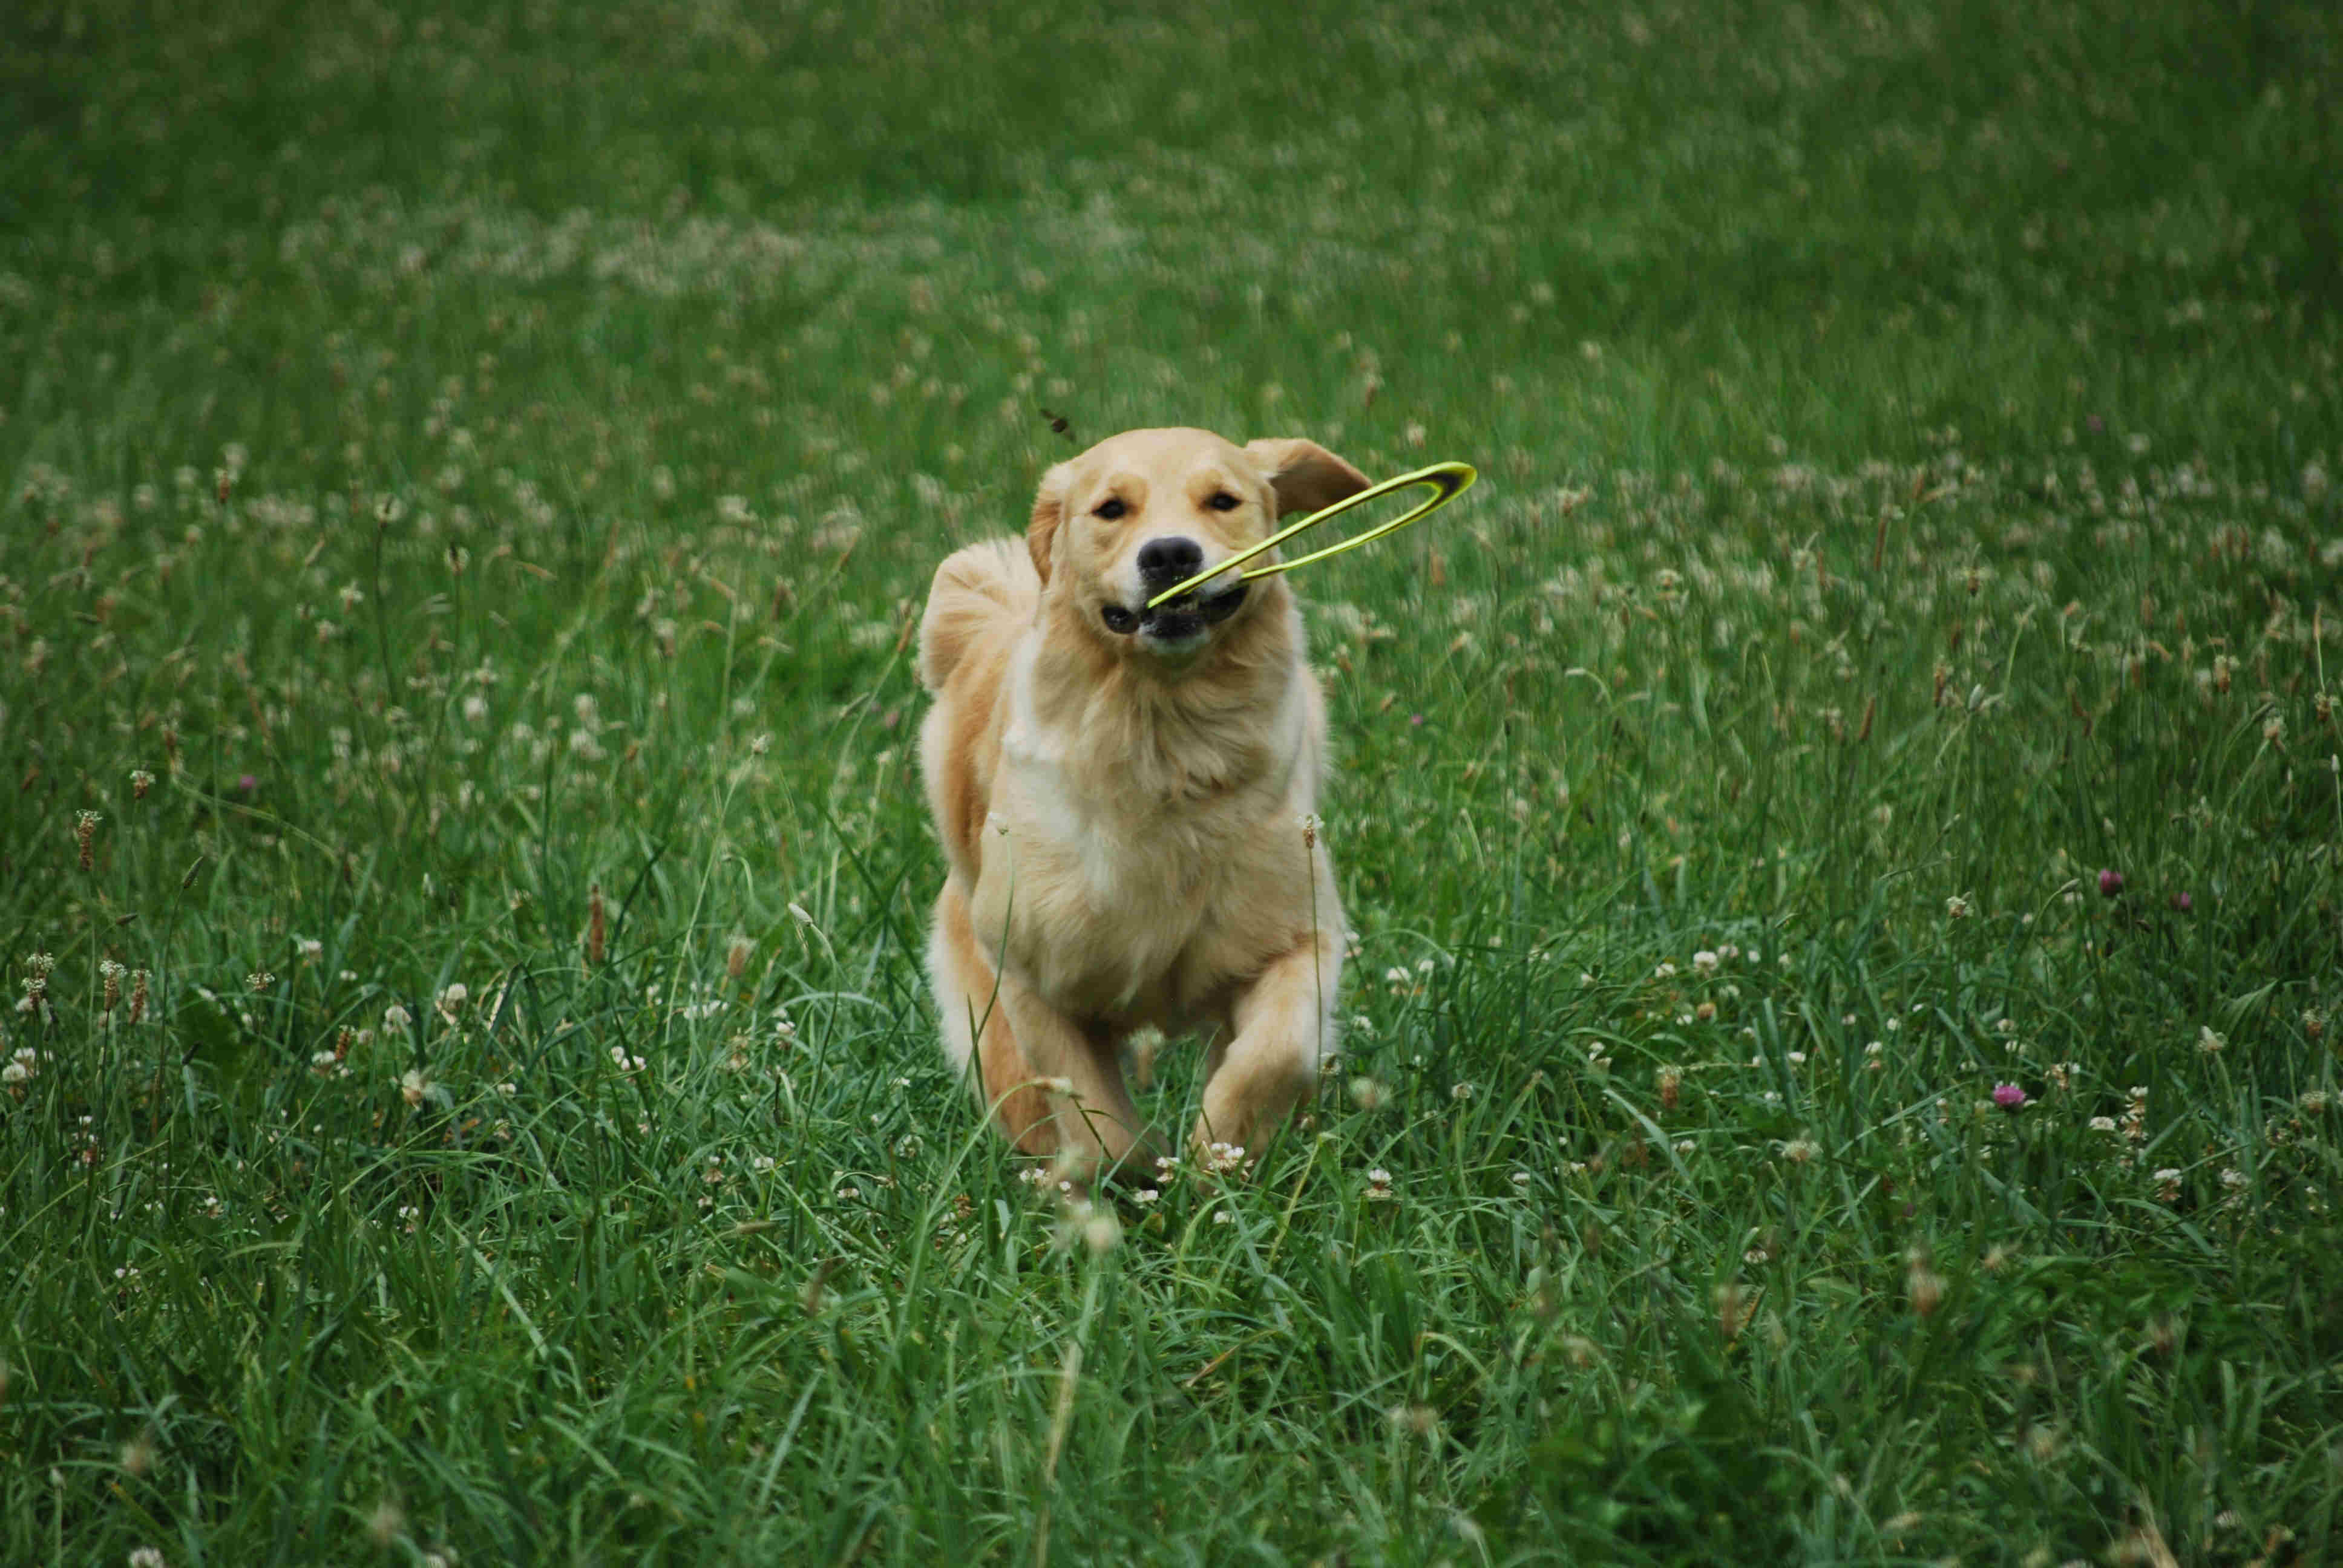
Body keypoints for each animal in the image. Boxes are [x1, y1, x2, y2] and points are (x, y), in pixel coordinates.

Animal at [914, 429, 1368, 1172]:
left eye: (1222, 500)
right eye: (1110, 509)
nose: (1170, 554)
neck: (1165, 738)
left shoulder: (1296, 935)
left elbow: (1274, 1053)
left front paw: (1220, 1150)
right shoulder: (1031, 979)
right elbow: (1097, 1125)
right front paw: (1142, 1166)